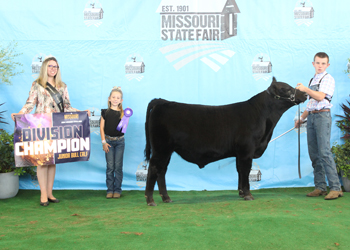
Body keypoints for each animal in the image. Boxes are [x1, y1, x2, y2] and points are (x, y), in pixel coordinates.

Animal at [144, 77, 304, 205]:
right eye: (286, 89)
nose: (304, 93)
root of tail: (162, 102)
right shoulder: (247, 150)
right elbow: (245, 170)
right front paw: (248, 195)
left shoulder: (240, 153)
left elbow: (240, 170)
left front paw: (241, 193)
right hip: (161, 148)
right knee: (154, 168)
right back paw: (150, 200)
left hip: (167, 150)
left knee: (162, 170)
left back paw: (166, 198)